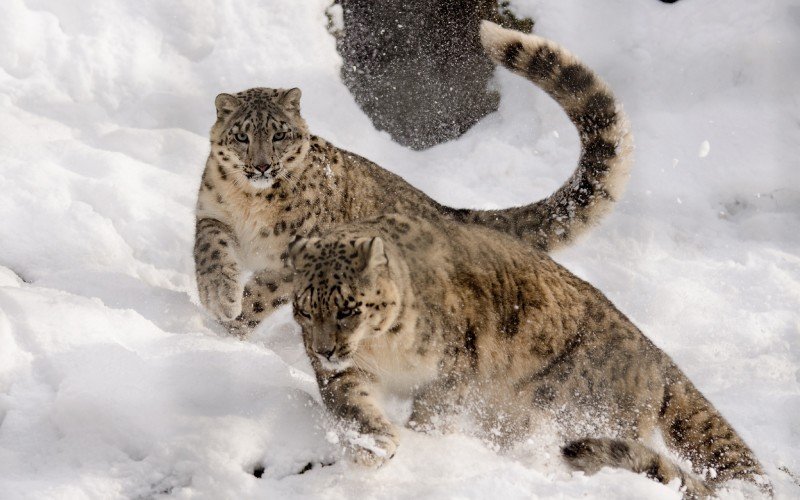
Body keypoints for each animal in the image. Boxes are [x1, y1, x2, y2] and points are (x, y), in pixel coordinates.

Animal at [194, 20, 633, 337]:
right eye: (242, 136)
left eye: (279, 134)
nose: (262, 166)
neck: (252, 205)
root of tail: (444, 209)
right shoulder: (213, 213)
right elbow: (210, 251)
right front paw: (219, 297)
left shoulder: (297, 254)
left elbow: (262, 293)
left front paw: (231, 323)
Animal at [288, 207, 770, 497]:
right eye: (305, 309)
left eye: (348, 309)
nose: (326, 350)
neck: (383, 348)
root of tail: (654, 355)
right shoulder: (347, 373)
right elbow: (353, 404)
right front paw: (374, 445)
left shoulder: (452, 369)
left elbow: (434, 412)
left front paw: (425, 443)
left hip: (566, 408)